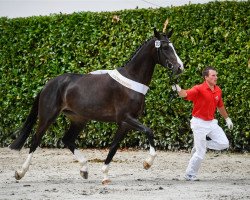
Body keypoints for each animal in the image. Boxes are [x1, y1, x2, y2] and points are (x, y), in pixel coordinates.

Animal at [9, 27, 184, 184]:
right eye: (165, 47)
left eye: (173, 46)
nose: (180, 67)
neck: (132, 79)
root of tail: (48, 84)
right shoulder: (126, 118)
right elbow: (149, 131)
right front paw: (147, 163)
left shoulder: (125, 124)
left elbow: (113, 147)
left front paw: (105, 175)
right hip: (48, 117)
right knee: (35, 140)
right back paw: (20, 172)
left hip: (79, 119)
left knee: (67, 139)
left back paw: (84, 170)